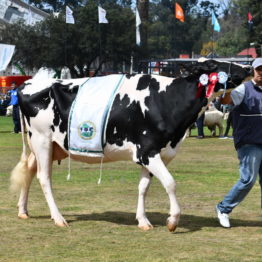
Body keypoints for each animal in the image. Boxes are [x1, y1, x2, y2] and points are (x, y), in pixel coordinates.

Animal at [10, 58, 252, 231]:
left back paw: (23, 210)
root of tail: (29, 83)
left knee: (29, 170)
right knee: (44, 178)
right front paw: (172, 220)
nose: (249, 68)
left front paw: (143, 220)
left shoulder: (157, 154)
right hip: (42, 140)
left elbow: (143, 187)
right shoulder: (148, 152)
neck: (165, 100)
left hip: (46, 145)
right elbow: (171, 183)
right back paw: (58, 217)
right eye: (213, 65)